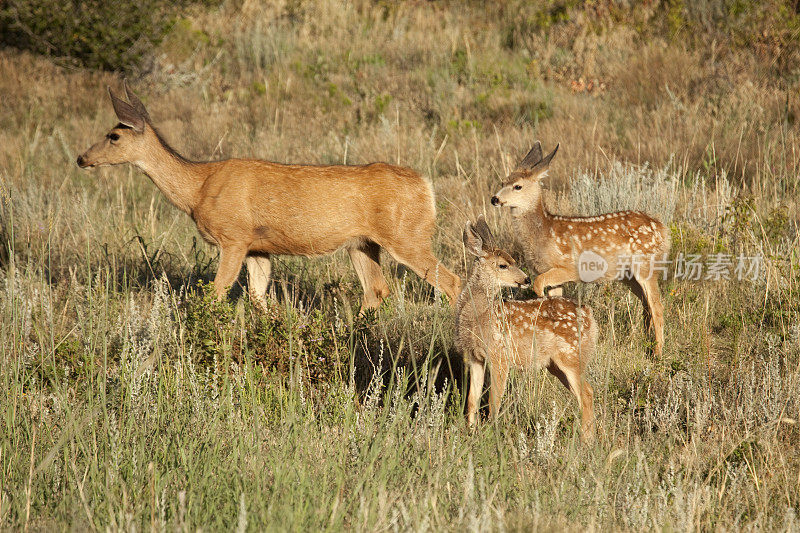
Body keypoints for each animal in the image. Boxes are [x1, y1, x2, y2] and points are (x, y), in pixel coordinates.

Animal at [79, 83, 462, 308]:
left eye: (114, 135)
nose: (82, 158)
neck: (197, 187)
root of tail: (426, 186)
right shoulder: (258, 247)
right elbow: (258, 299)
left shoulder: (233, 237)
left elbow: (217, 292)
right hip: (362, 243)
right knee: (377, 290)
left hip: (406, 236)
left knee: (452, 281)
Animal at [456, 214, 592, 438]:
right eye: (503, 265)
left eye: (513, 260)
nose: (527, 279)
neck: (478, 316)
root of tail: (591, 317)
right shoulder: (475, 357)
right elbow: (471, 401)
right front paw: (471, 432)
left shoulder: (499, 355)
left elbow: (494, 402)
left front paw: (493, 435)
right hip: (555, 364)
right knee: (584, 394)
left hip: (571, 356)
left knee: (587, 394)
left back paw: (586, 440)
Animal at [490, 142, 672, 358]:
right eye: (502, 181)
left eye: (517, 186)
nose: (494, 199)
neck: (543, 233)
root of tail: (663, 230)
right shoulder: (554, 277)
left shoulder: (569, 268)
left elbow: (538, 284)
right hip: (628, 276)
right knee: (646, 305)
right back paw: (647, 345)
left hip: (646, 265)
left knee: (658, 305)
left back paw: (658, 353)